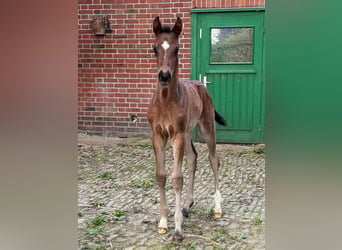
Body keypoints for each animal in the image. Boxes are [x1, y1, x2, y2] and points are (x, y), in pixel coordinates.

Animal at [147, 16, 227, 242]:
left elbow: (177, 178)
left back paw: (217, 208)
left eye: (177, 49)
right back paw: (187, 205)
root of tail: (199, 84)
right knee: (193, 158)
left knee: (213, 159)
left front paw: (177, 230)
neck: (166, 101)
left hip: (206, 127)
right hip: (189, 132)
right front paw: (163, 222)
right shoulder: (158, 135)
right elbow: (161, 175)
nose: (164, 76)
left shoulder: (177, 136)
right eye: (154, 48)